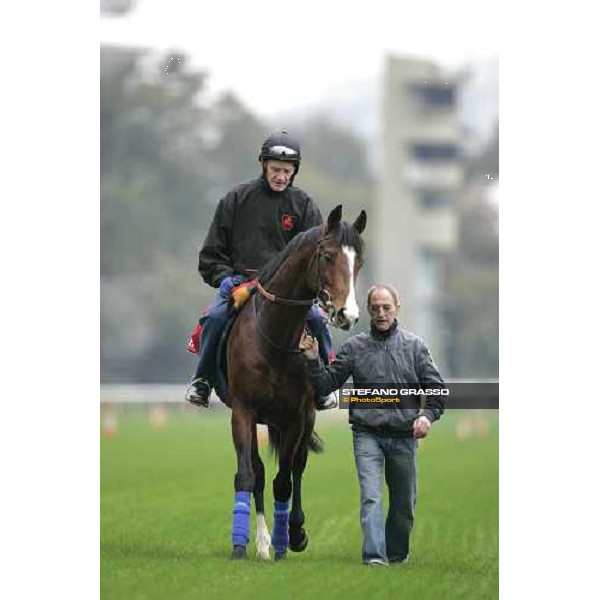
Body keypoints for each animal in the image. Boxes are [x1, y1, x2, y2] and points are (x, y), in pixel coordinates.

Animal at [225, 204, 366, 560]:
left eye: (358, 261)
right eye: (328, 256)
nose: (347, 314)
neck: (275, 338)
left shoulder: (294, 418)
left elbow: (285, 481)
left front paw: (288, 539)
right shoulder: (243, 411)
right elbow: (248, 475)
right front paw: (243, 545)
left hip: (307, 417)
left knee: (297, 469)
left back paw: (293, 532)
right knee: (260, 471)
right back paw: (262, 542)